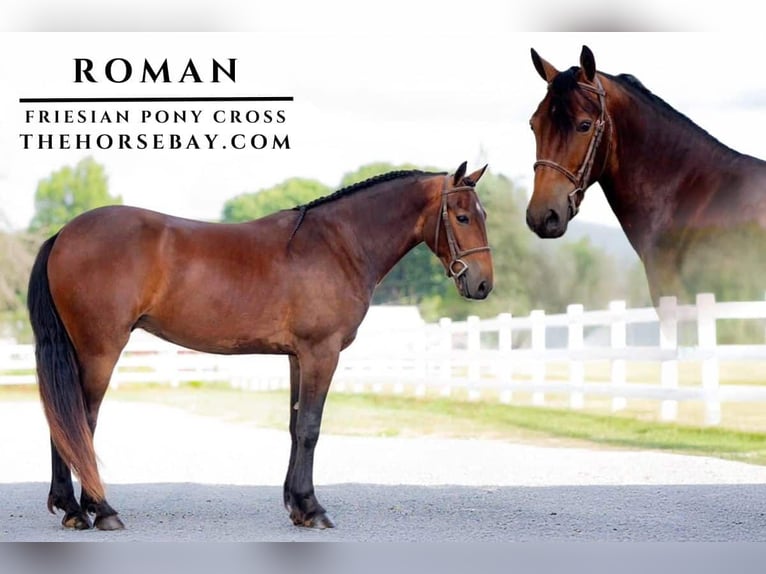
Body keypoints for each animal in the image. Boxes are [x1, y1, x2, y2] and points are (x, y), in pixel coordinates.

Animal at [27, 161, 493, 531]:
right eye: (462, 216)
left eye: (481, 214)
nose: (483, 284)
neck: (337, 244)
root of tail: (64, 234)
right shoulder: (321, 353)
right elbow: (310, 428)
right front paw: (314, 509)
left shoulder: (297, 357)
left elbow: (294, 426)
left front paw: (297, 506)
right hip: (99, 350)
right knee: (80, 422)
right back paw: (101, 510)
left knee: (61, 422)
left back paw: (71, 510)